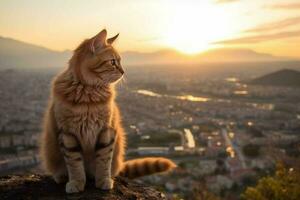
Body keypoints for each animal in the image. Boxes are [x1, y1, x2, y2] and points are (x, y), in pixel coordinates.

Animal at [39, 28, 176, 193]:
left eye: (120, 61)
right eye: (112, 62)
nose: (123, 71)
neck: (88, 94)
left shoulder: (106, 130)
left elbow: (104, 160)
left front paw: (103, 180)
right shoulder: (67, 134)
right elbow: (74, 163)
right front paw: (77, 182)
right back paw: (62, 177)